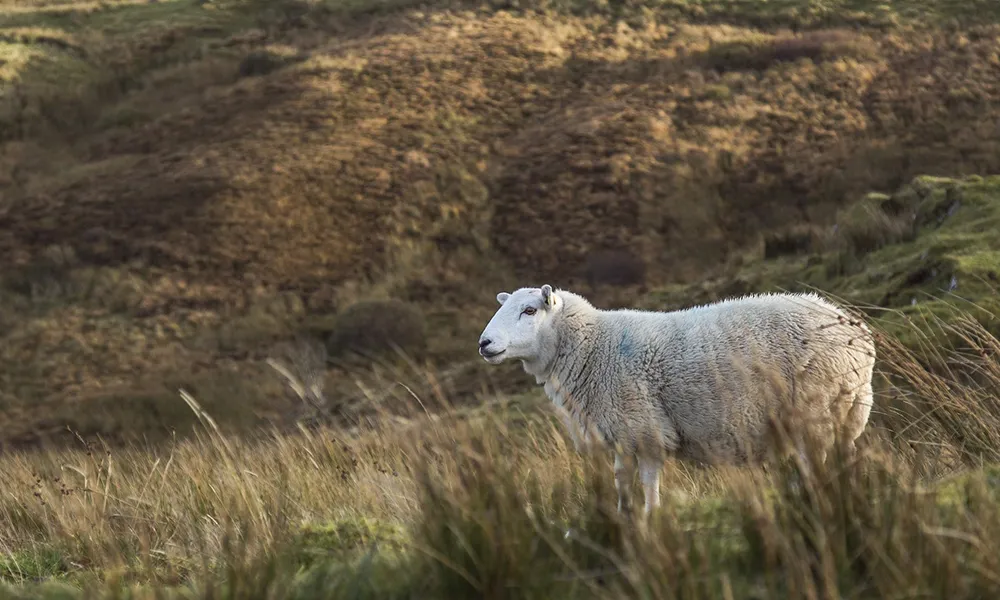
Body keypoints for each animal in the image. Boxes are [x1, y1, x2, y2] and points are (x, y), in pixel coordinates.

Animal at [476, 286, 876, 516]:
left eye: (529, 311)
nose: (484, 343)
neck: (592, 347)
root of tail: (856, 331)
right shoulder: (622, 433)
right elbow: (621, 481)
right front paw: (625, 520)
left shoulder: (644, 428)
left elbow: (648, 483)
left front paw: (651, 523)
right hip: (847, 410)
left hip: (814, 409)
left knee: (816, 466)